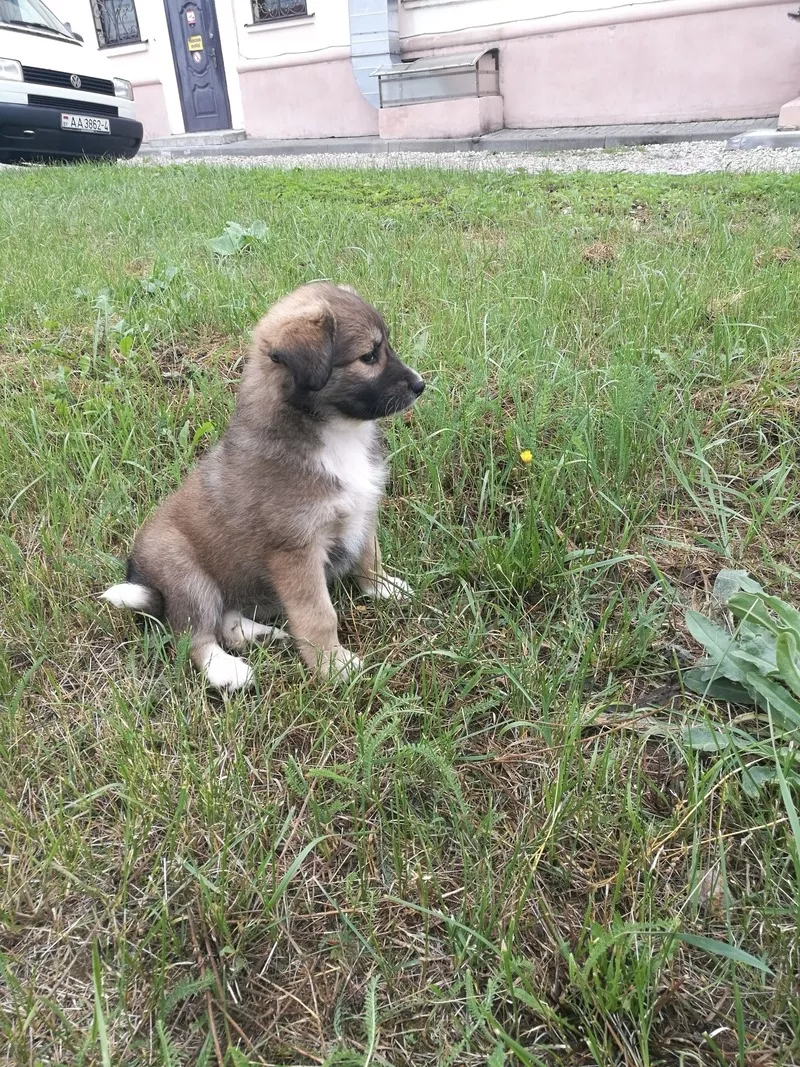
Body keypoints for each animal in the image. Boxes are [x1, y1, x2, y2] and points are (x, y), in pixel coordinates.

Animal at [100, 279, 426, 687]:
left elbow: (369, 556)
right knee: (193, 635)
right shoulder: (295, 550)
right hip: (186, 575)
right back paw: (227, 670)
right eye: (368, 356)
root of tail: (144, 580)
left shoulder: (362, 510)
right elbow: (319, 615)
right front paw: (332, 666)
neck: (335, 433)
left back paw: (259, 633)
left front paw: (382, 588)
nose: (421, 385)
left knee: (224, 622)